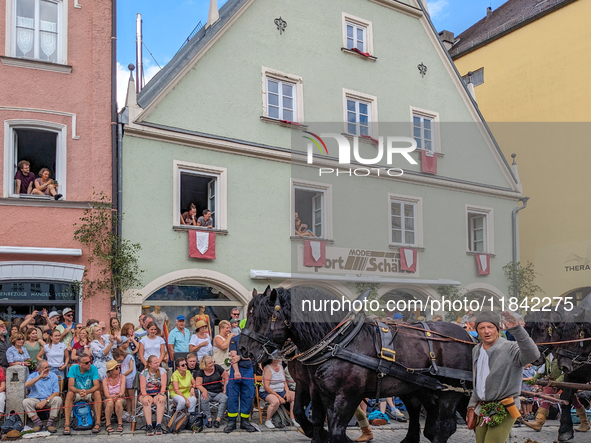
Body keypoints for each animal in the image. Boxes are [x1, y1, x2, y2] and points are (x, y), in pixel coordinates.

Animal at [240, 288, 472, 443]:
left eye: (263, 317)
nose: (244, 350)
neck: (338, 341)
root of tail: (466, 336)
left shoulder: (346, 395)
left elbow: (334, 429)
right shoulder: (319, 390)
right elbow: (312, 417)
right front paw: (316, 434)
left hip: (450, 391)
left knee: (443, 426)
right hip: (416, 387)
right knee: (421, 414)